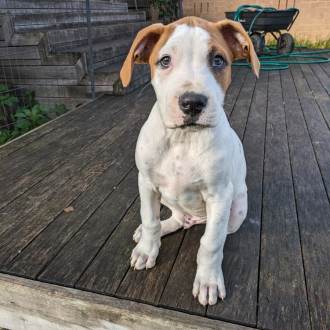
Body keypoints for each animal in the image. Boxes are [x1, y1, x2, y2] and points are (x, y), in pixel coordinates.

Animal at [120, 16, 260, 306]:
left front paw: (208, 281)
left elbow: (211, 243)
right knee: (174, 217)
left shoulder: (220, 195)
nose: (192, 103)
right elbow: (149, 219)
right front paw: (147, 249)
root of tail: (194, 219)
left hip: (237, 209)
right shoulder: (146, 182)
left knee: (215, 232)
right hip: (167, 198)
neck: (182, 140)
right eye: (164, 61)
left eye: (218, 60)